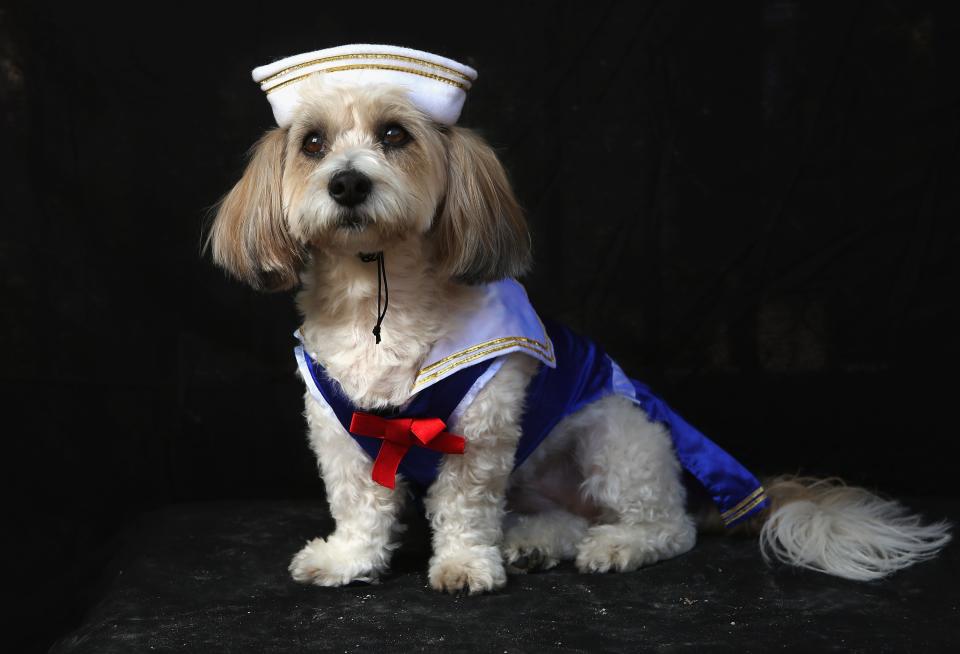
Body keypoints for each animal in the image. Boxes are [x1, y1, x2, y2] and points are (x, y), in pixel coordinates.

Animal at [206, 44, 948, 596]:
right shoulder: (338, 425)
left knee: (668, 525)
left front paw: (465, 565)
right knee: (556, 518)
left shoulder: (482, 427)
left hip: (617, 434)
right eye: (312, 143)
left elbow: (465, 505)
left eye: (395, 135)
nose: (348, 183)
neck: (381, 296)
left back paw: (612, 545)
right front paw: (348, 560)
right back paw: (534, 544)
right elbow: (359, 502)